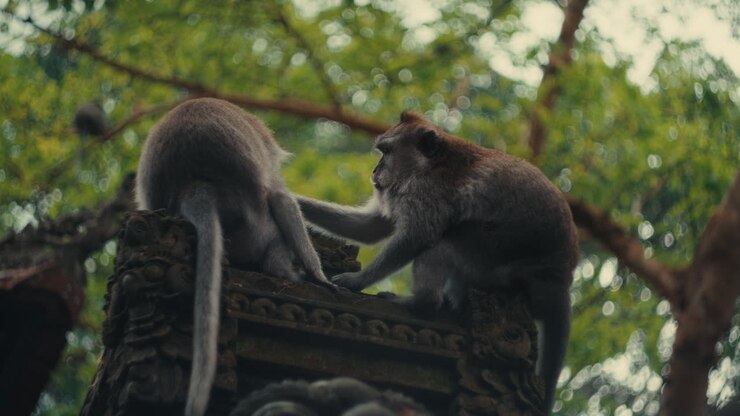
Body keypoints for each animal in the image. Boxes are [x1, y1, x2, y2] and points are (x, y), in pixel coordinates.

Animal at [135, 97, 331, 416]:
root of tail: (194, 185)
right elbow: (281, 198)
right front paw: (319, 275)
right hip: (254, 228)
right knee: (274, 215)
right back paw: (283, 270)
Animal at [296, 111, 577, 413]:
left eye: (386, 152)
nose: (374, 171)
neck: (429, 165)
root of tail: (558, 279)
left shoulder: (426, 191)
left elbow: (417, 236)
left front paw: (356, 281)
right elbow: (372, 227)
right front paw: (292, 199)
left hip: (498, 267)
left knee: (441, 248)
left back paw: (421, 303)